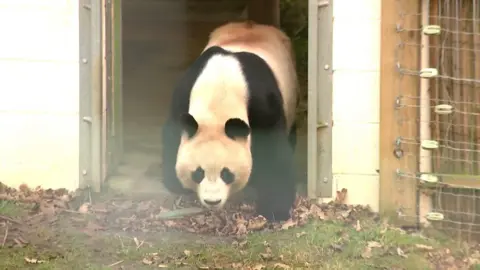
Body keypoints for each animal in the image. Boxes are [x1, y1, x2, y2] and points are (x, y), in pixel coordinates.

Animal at [159, 20, 298, 220]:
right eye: (198, 173)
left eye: (227, 174)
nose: (212, 201)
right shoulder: (185, 90)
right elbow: (172, 130)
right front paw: (175, 182)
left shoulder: (262, 101)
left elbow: (273, 150)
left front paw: (274, 210)